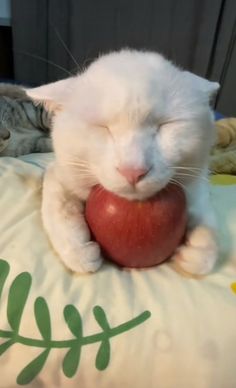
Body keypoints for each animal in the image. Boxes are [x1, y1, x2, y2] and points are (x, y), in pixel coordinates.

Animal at [25, 50, 219, 276]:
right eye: (102, 128)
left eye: (164, 125)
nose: (133, 171)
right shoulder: (61, 173)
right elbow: (59, 208)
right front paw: (79, 251)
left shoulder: (197, 183)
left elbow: (207, 221)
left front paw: (199, 250)